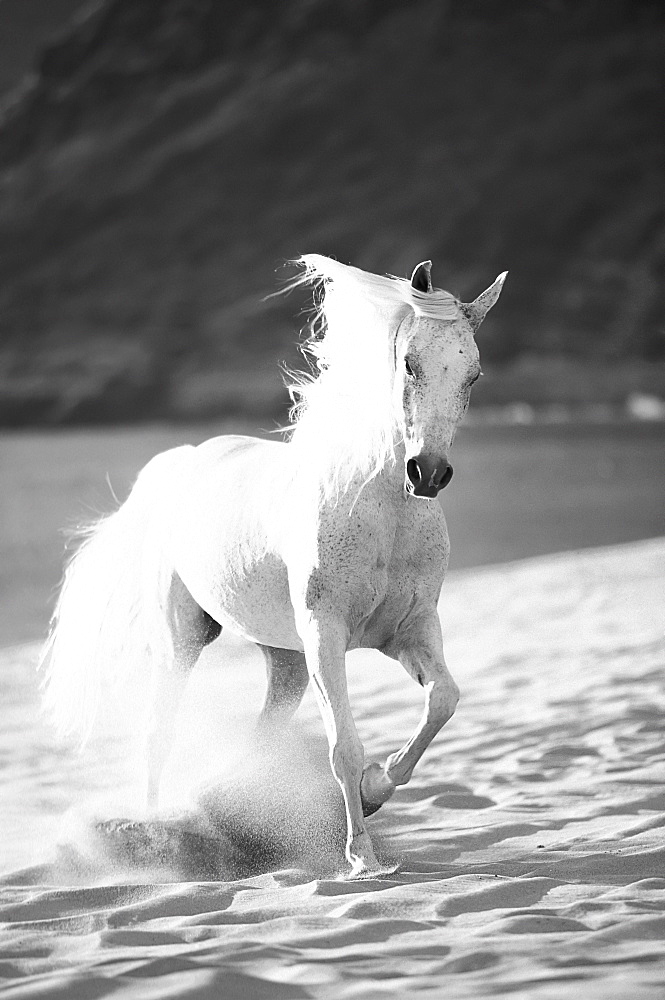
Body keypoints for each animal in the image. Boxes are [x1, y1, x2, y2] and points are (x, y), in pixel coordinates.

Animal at [44, 256, 506, 876]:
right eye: (410, 363)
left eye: (473, 375)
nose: (427, 473)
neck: (382, 513)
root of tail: (180, 463)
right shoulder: (326, 635)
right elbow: (343, 744)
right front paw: (361, 857)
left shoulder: (410, 631)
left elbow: (443, 701)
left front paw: (375, 788)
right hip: (184, 639)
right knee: (158, 734)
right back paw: (159, 833)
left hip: (284, 658)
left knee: (261, 734)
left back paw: (225, 807)